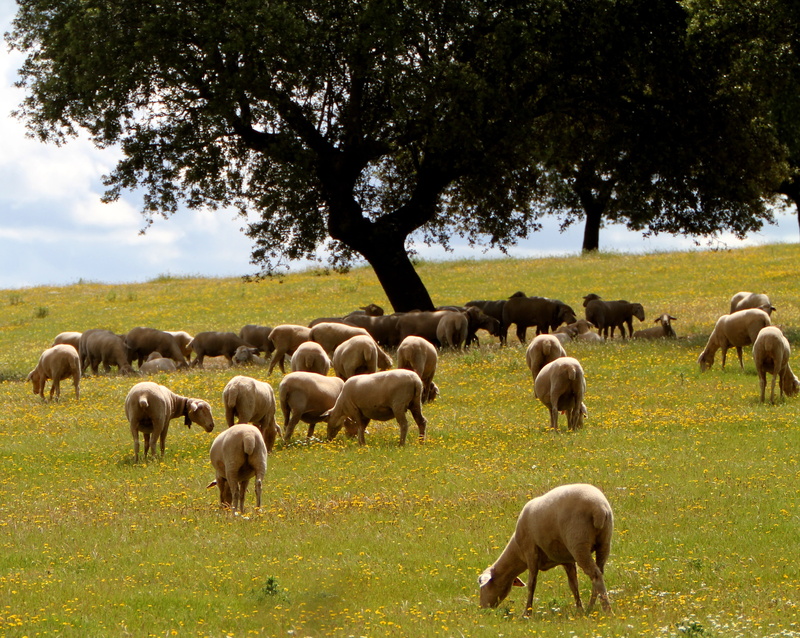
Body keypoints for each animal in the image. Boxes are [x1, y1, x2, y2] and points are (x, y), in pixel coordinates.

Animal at [478, 483, 613, 615]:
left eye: (482, 585)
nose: (483, 609)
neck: (517, 550)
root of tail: (599, 508)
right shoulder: (567, 559)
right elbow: (573, 584)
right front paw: (579, 609)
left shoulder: (530, 551)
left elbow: (532, 583)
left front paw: (527, 613)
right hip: (604, 542)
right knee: (600, 572)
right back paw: (591, 608)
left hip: (578, 543)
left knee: (595, 575)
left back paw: (607, 610)